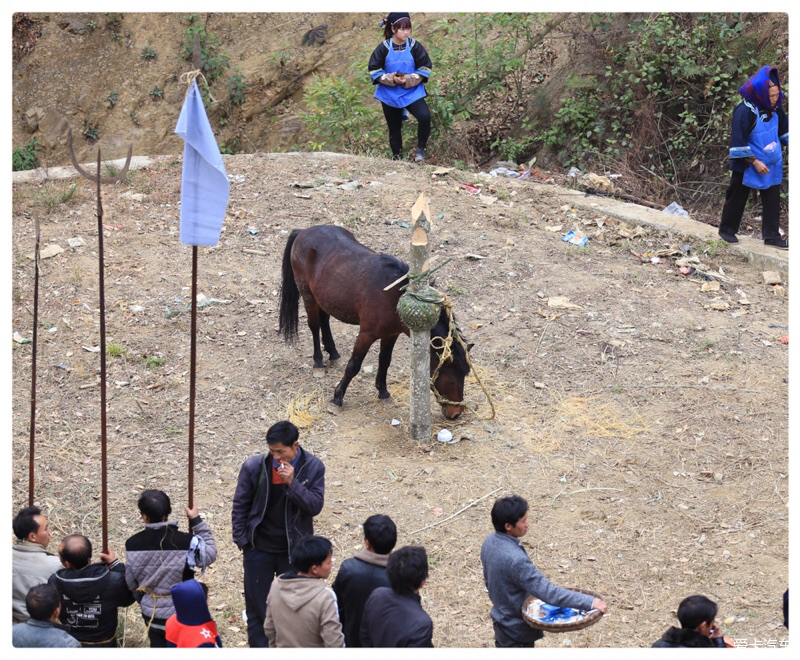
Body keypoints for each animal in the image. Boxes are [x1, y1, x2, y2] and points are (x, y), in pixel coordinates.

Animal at [280, 223, 472, 418]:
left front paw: (383, 391)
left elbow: (385, 361)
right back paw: (318, 362)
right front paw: (337, 397)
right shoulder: (366, 334)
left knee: (324, 320)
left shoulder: (391, 334)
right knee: (314, 325)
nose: (457, 412)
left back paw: (333, 353)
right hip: (308, 295)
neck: (395, 298)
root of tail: (303, 231)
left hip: (324, 297)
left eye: (464, 374)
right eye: (452, 374)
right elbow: (354, 365)